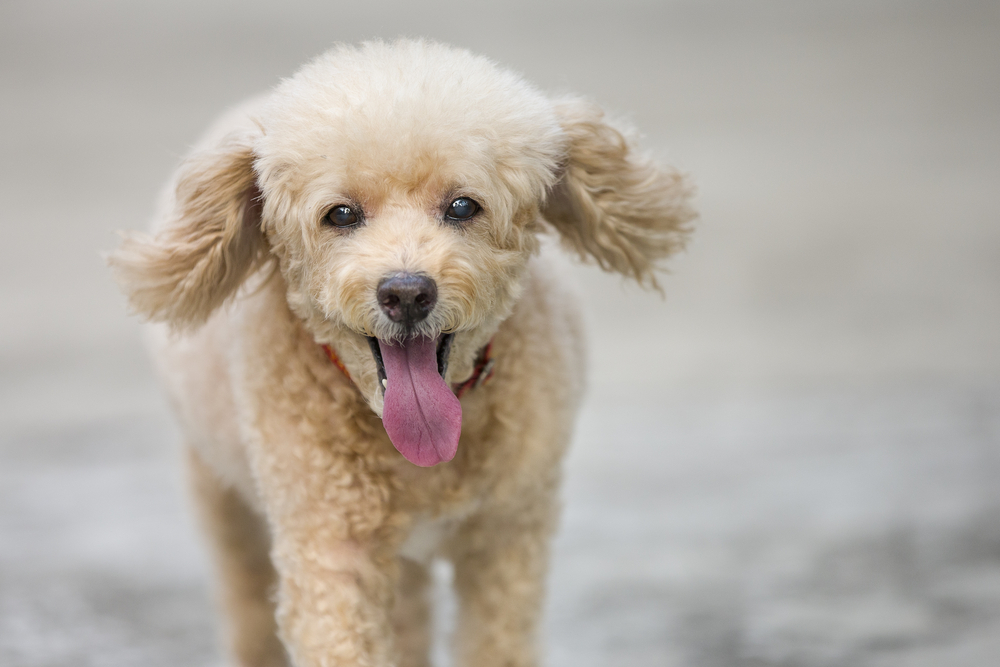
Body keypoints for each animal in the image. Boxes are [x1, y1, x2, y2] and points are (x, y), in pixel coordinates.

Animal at [107, 40, 688, 667]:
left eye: (463, 206)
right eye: (340, 214)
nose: (406, 293)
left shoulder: (509, 538)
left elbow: (498, 641)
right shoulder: (332, 552)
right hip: (221, 492)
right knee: (245, 599)